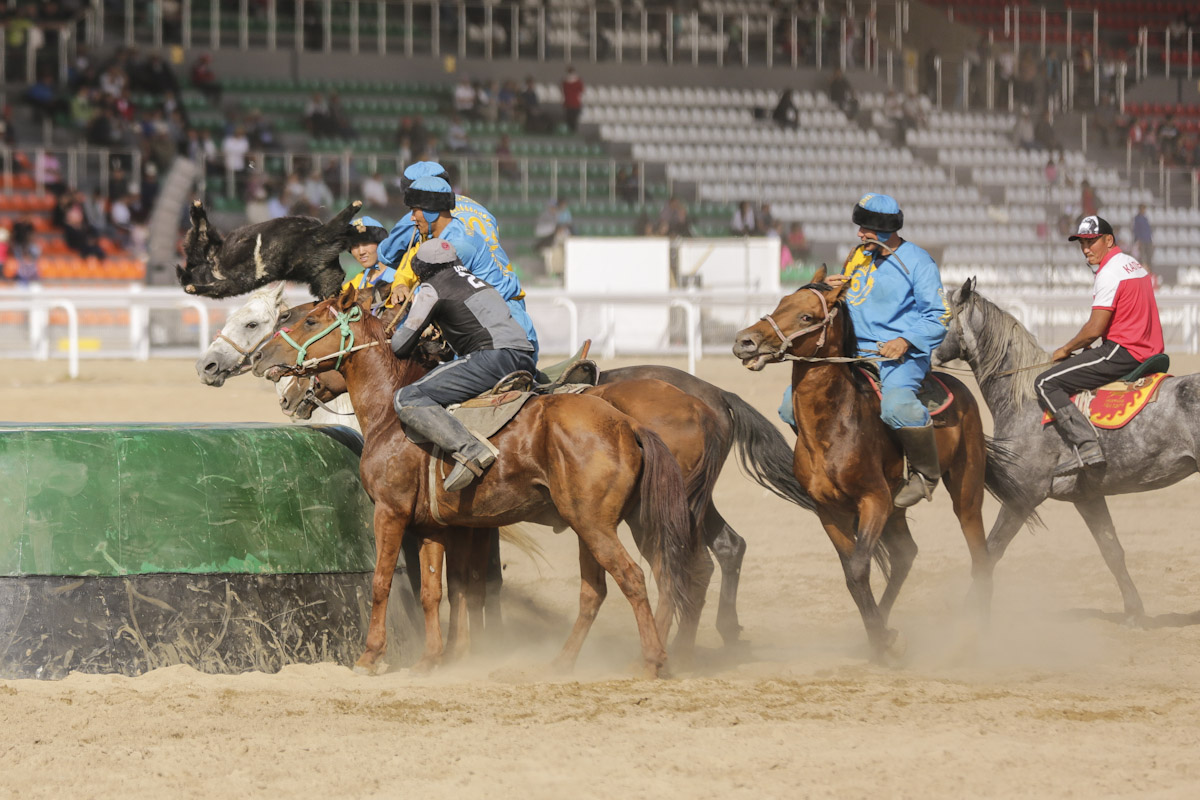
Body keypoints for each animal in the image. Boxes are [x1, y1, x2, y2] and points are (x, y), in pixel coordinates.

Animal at [255, 291, 700, 681]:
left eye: (310, 320)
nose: (260, 357)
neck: (390, 413)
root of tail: (626, 424)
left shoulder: (391, 513)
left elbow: (382, 583)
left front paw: (370, 657)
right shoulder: (435, 527)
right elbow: (435, 591)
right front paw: (431, 660)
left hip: (595, 525)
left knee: (634, 578)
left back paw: (651, 661)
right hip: (612, 525)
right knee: (618, 587)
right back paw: (564, 662)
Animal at [734, 268, 1027, 662]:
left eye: (806, 316)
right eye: (781, 303)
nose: (745, 342)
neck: (835, 426)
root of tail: (958, 387)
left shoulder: (873, 500)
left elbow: (859, 568)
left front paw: (882, 637)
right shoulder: (830, 511)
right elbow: (852, 573)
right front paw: (880, 636)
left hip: (964, 491)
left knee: (979, 556)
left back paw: (974, 634)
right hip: (896, 507)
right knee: (905, 555)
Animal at [926, 278, 1190, 623]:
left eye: (940, 317)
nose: (924, 355)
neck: (1025, 400)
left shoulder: (1024, 495)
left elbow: (992, 549)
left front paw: (970, 611)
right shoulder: (1088, 497)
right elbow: (1112, 551)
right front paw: (1134, 611)